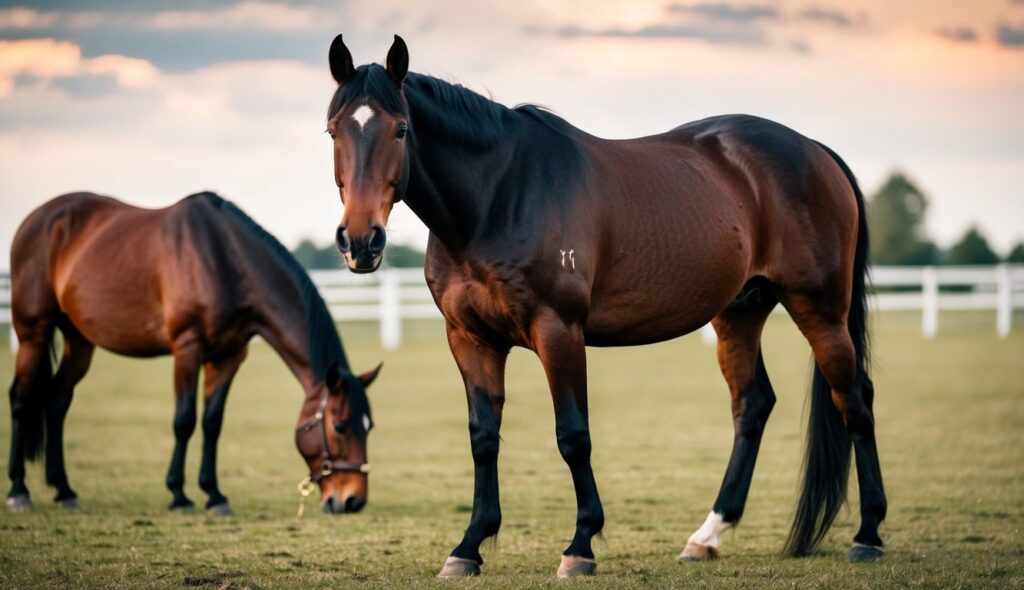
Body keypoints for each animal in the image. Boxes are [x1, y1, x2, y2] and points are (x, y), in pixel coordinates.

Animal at [6, 192, 382, 516]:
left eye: (370, 426)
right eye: (339, 425)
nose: (353, 500)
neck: (224, 259)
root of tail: (36, 220)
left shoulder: (229, 357)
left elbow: (212, 423)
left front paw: (214, 495)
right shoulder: (187, 350)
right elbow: (184, 420)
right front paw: (179, 494)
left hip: (80, 342)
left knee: (57, 401)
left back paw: (64, 489)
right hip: (32, 333)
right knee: (21, 399)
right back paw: (18, 491)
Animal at [323, 33, 884, 577]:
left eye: (400, 129)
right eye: (333, 131)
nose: (361, 241)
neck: (496, 199)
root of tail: (813, 149)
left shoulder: (558, 331)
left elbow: (573, 435)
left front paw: (580, 546)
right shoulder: (470, 339)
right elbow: (483, 437)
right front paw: (469, 546)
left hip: (820, 309)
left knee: (855, 401)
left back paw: (868, 535)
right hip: (739, 313)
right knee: (752, 406)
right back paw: (707, 536)